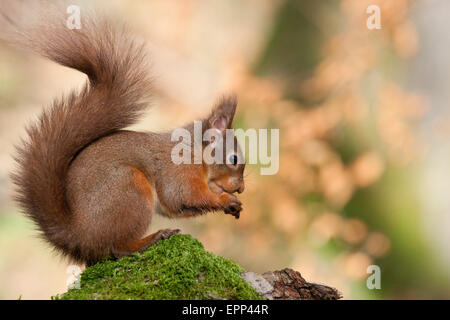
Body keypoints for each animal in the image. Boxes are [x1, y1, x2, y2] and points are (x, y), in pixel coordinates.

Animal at [6, 10, 246, 266]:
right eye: (233, 160)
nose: (241, 188)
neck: (195, 151)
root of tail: (79, 236)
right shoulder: (180, 170)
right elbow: (184, 195)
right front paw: (225, 200)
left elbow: (177, 206)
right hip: (129, 189)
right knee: (117, 248)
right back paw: (150, 239)